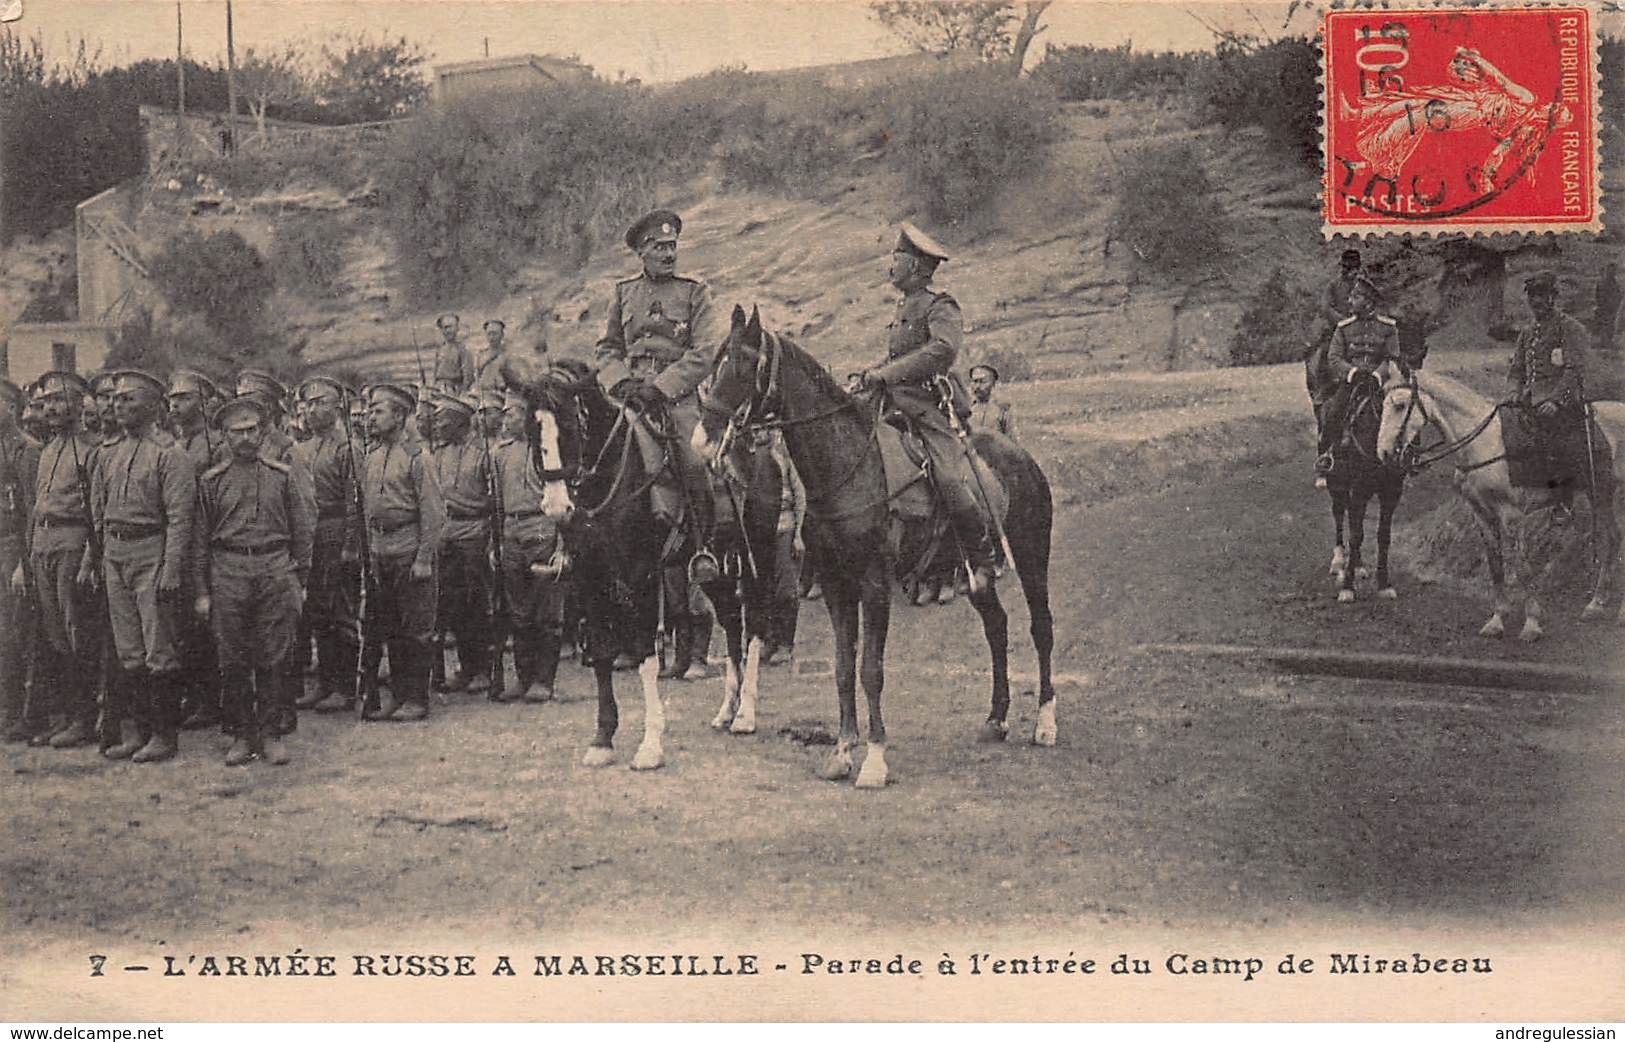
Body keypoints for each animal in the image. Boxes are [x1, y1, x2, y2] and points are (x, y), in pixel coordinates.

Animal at [695, 305, 1053, 783]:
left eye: (741, 365)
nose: (703, 441)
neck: (845, 467)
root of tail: (1020, 457)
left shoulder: (875, 585)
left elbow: (871, 670)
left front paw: (875, 760)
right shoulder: (836, 585)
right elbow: (844, 669)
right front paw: (843, 751)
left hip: (1032, 559)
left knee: (1041, 628)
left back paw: (1045, 724)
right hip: (975, 573)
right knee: (996, 626)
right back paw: (996, 719)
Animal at [1371, 370, 1625, 637]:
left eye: (1399, 405)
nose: (1384, 453)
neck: (1483, 442)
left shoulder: (1511, 515)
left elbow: (1522, 568)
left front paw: (1531, 623)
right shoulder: (1481, 514)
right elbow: (1495, 565)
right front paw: (1497, 620)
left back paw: (1619, 613)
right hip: (1602, 494)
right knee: (1614, 538)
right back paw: (1596, 604)